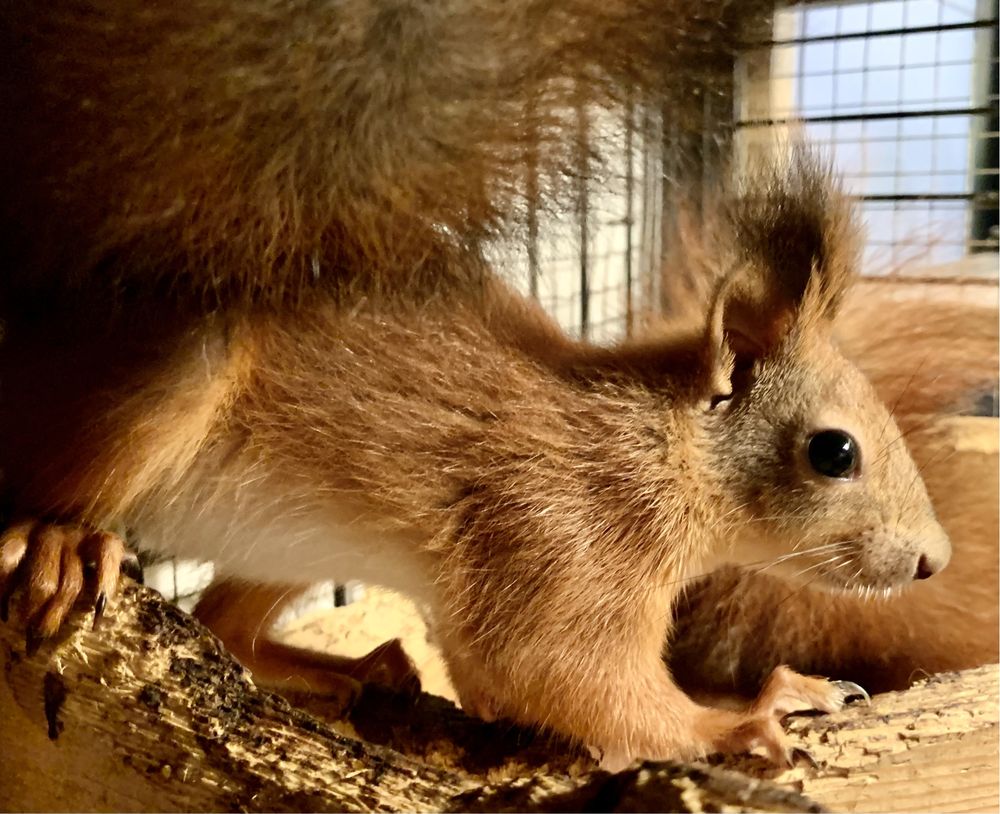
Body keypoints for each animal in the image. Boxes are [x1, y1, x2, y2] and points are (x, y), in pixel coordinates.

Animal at [0, 1, 952, 772]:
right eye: (834, 451)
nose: (932, 560)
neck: (658, 448)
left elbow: (494, 678)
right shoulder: (558, 535)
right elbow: (559, 675)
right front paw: (747, 715)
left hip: (292, 543)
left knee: (226, 623)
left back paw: (356, 669)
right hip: (169, 384)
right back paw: (61, 541)